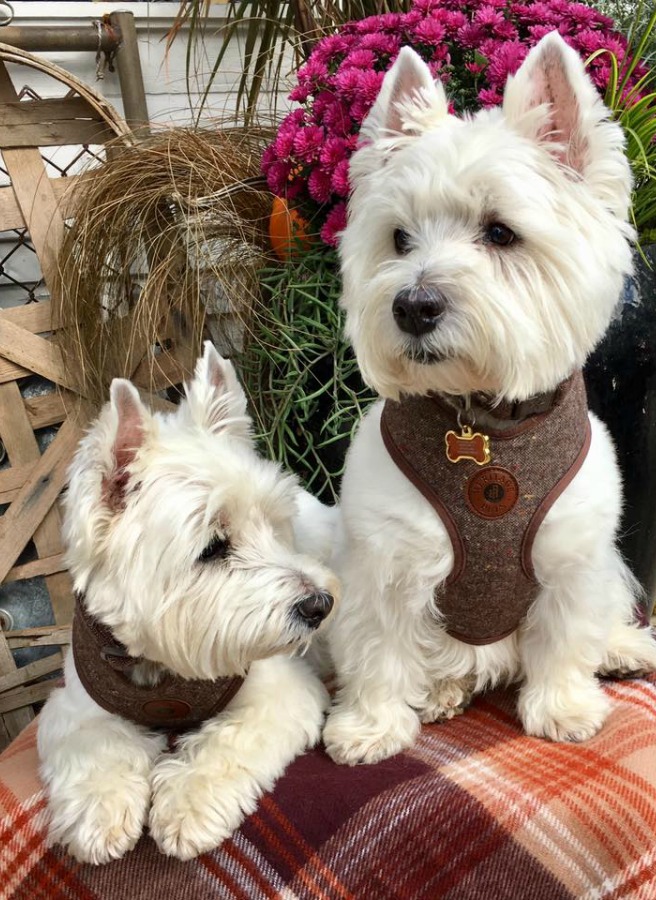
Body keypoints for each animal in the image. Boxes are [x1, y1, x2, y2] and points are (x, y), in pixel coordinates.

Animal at [37, 344, 338, 864]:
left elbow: (231, 741)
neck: (162, 666)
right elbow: (93, 746)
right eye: (213, 548)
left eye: (274, 525)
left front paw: (187, 804)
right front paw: (99, 810)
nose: (319, 605)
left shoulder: (282, 690)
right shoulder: (73, 705)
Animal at [322, 29, 656, 768]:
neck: (486, 424)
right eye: (398, 238)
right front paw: (371, 727)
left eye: (500, 232)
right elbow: (380, 651)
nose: (413, 306)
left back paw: (624, 650)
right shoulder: (383, 566)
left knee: (600, 621)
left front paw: (563, 710)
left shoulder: (572, 560)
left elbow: (565, 640)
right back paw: (443, 693)